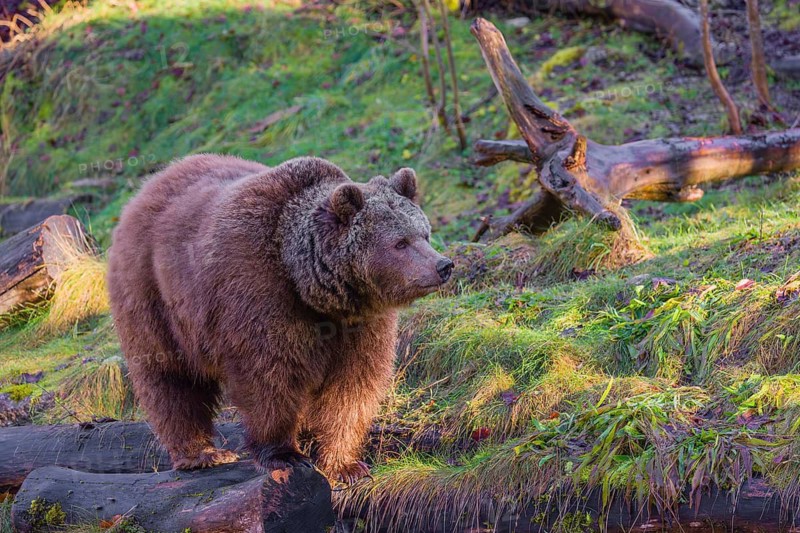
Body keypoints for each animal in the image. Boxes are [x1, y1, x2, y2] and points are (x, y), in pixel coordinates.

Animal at [107, 154, 453, 483]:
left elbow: (353, 385)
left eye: (424, 233)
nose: (443, 265)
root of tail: (148, 186)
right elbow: (270, 376)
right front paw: (285, 454)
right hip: (154, 294)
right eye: (400, 243)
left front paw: (345, 464)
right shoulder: (259, 292)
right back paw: (201, 453)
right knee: (170, 376)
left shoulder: (359, 323)